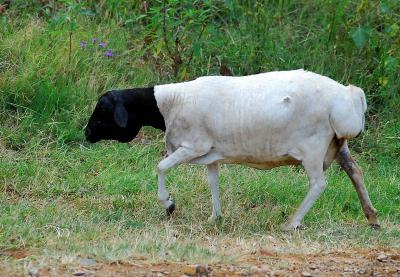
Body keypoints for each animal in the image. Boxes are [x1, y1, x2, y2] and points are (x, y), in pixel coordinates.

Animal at [84, 69, 378, 229]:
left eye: (102, 110)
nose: (86, 133)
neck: (170, 104)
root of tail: (350, 96)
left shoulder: (193, 145)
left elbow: (161, 166)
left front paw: (169, 204)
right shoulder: (211, 153)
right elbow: (213, 182)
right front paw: (215, 217)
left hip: (313, 146)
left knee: (318, 184)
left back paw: (292, 223)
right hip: (338, 144)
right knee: (356, 172)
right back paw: (372, 217)